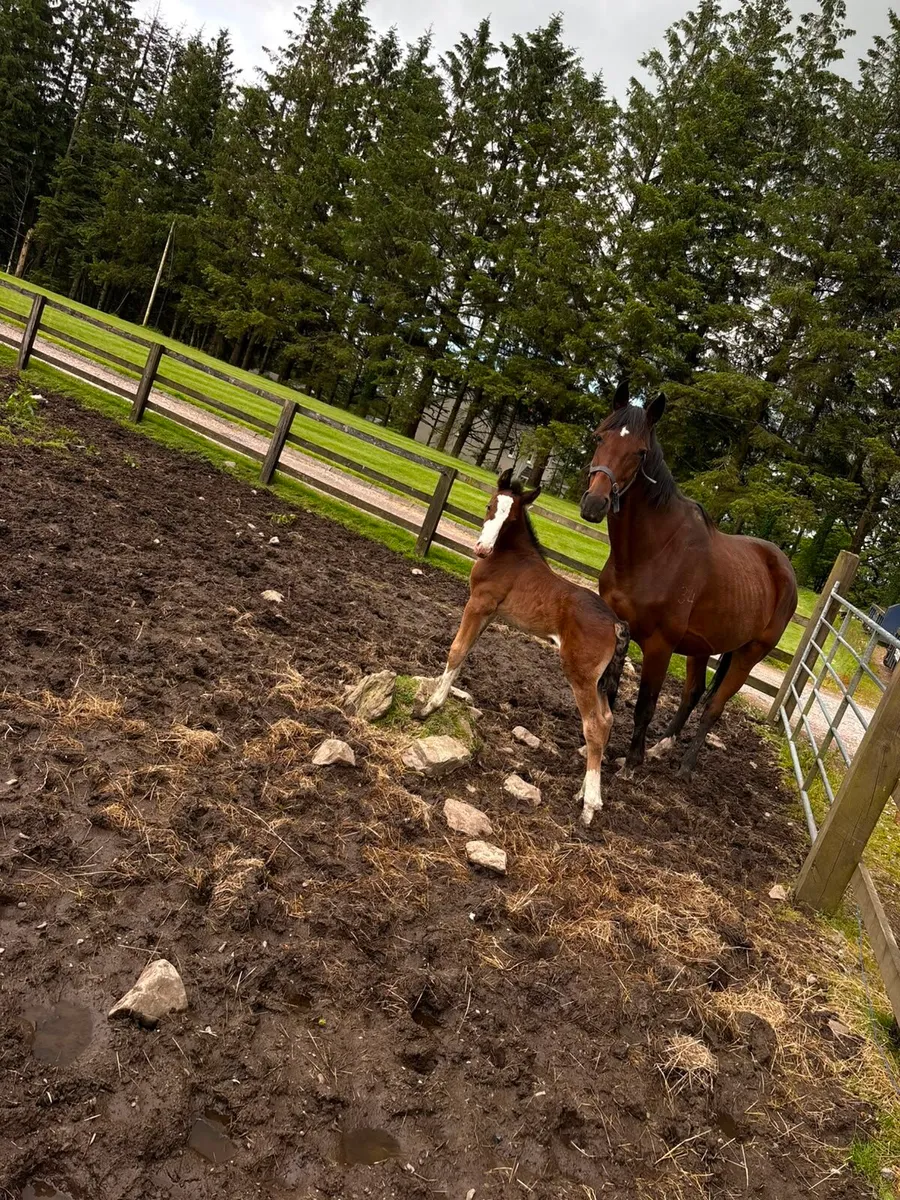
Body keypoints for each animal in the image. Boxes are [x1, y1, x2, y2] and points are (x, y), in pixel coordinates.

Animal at [417, 469, 629, 825]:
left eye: (512, 517)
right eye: (489, 506)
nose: (482, 549)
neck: (506, 557)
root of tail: (616, 623)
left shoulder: (478, 604)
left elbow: (457, 649)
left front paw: (429, 706)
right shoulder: (489, 614)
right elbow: (467, 651)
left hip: (580, 675)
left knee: (595, 726)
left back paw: (590, 805)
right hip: (599, 681)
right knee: (608, 719)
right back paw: (584, 792)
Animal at [579, 383, 798, 778]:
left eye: (640, 452)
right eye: (599, 436)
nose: (595, 503)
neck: (653, 551)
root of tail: (783, 569)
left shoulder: (660, 645)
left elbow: (645, 704)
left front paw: (631, 763)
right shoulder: (621, 627)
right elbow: (612, 692)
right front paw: (602, 747)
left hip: (748, 655)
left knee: (714, 707)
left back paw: (685, 765)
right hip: (702, 647)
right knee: (693, 693)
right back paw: (663, 746)